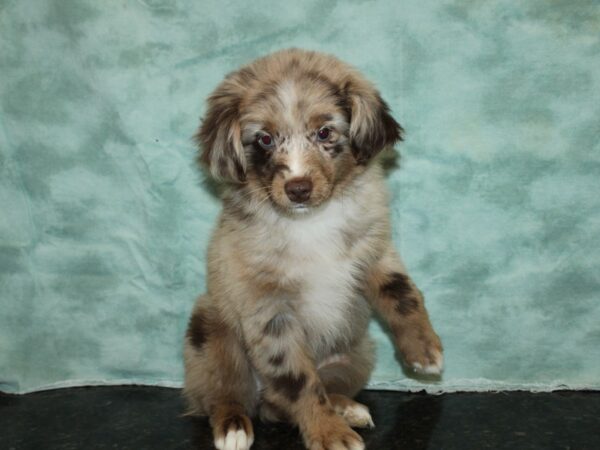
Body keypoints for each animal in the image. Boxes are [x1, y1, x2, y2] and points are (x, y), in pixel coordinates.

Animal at [185, 49, 442, 450]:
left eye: (324, 132)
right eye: (264, 139)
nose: (298, 188)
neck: (309, 222)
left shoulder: (374, 251)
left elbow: (402, 293)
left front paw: (424, 351)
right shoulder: (270, 309)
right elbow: (299, 383)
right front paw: (329, 433)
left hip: (357, 354)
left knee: (297, 396)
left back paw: (347, 407)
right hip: (210, 333)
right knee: (228, 394)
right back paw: (233, 427)